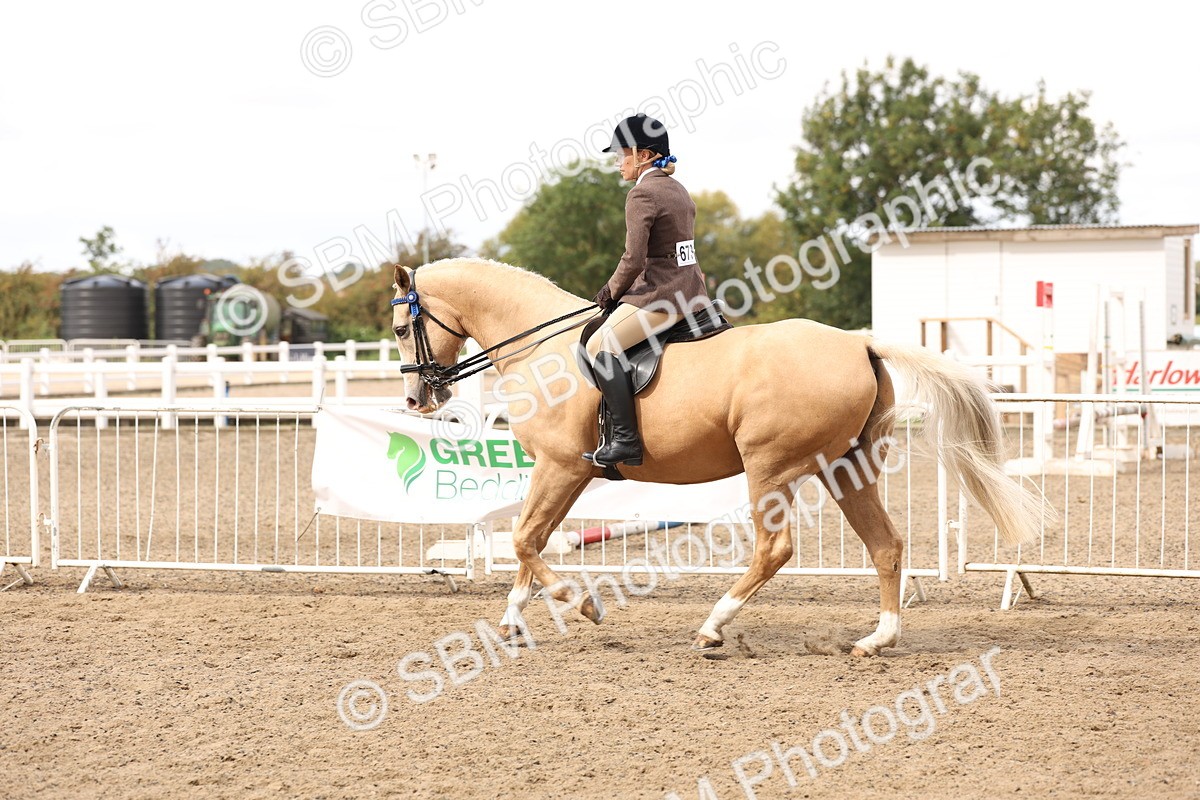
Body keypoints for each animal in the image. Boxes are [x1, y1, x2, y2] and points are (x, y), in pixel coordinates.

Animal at [389, 258, 1039, 656]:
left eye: (399, 327)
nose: (418, 397)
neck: (540, 349)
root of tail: (860, 342)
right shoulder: (565, 471)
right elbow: (532, 538)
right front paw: (513, 620)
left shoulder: (561, 465)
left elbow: (527, 539)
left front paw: (585, 606)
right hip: (846, 470)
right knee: (886, 545)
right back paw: (877, 639)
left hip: (770, 468)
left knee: (775, 548)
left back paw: (712, 627)